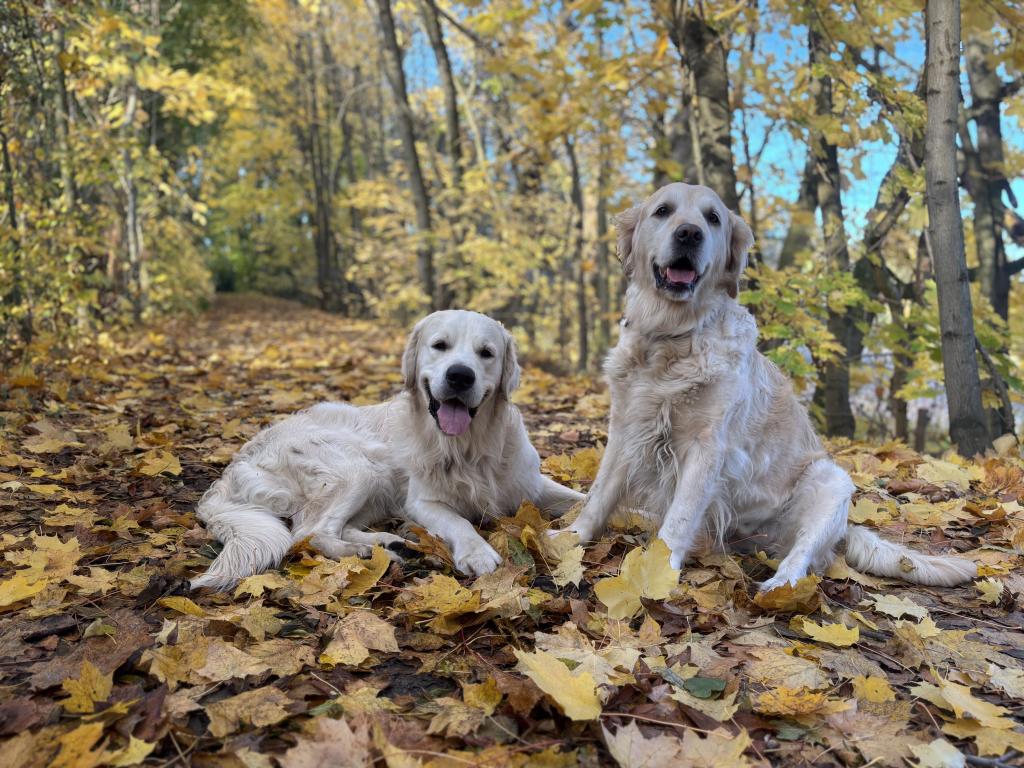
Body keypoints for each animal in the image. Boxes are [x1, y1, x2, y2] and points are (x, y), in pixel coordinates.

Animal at [191, 310, 583, 591]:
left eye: (486, 353)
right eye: (439, 345)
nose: (460, 375)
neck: (469, 446)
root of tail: (236, 463)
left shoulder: (531, 485)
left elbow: (577, 498)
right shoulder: (423, 501)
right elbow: (458, 521)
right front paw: (477, 552)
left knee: (331, 527)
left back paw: (391, 542)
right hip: (357, 467)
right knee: (307, 533)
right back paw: (364, 551)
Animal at [561, 182, 976, 590]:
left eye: (713, 218)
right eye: (663, 211)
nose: (689, 234)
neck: (672, 337)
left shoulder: (706, 446)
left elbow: (678, 519)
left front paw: (658, 572)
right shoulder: (627, 429)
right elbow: (598, 495)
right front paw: (566, 540)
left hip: (831, 480)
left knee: (804, 554)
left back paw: (782, 586)